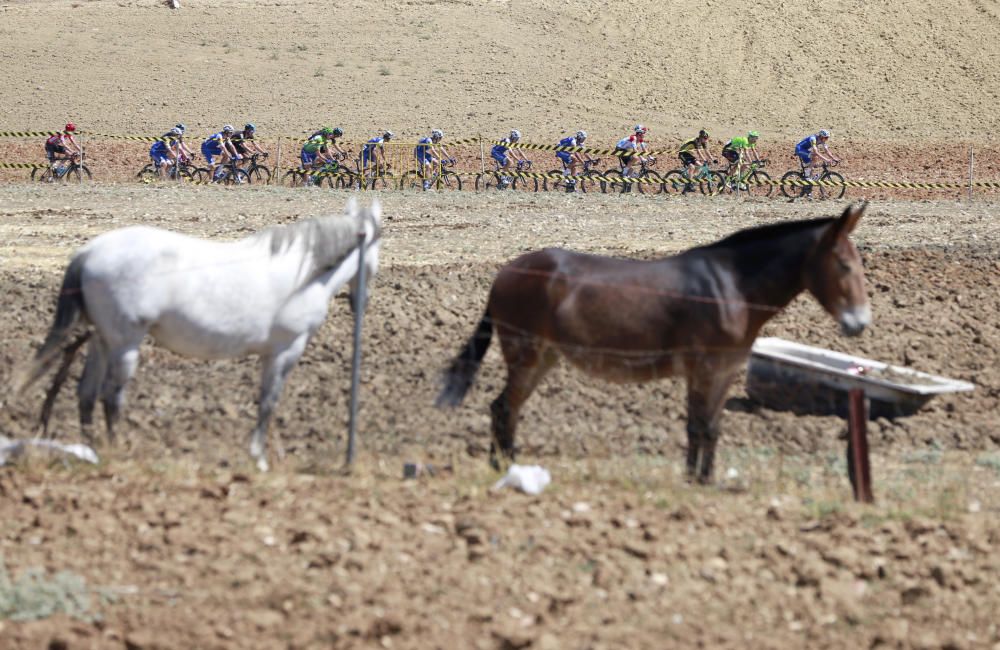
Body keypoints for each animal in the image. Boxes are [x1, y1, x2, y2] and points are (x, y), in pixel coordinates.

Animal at [15, 197, 382, 466]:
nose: (361, 303)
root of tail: (88, 252)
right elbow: (269, 401)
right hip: (124, 345)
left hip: (102, 342)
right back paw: (118, 452)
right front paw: (259, 459)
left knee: (86, 395)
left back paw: (93, 451)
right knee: (111, 397)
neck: (303, 273)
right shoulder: (286, 350)